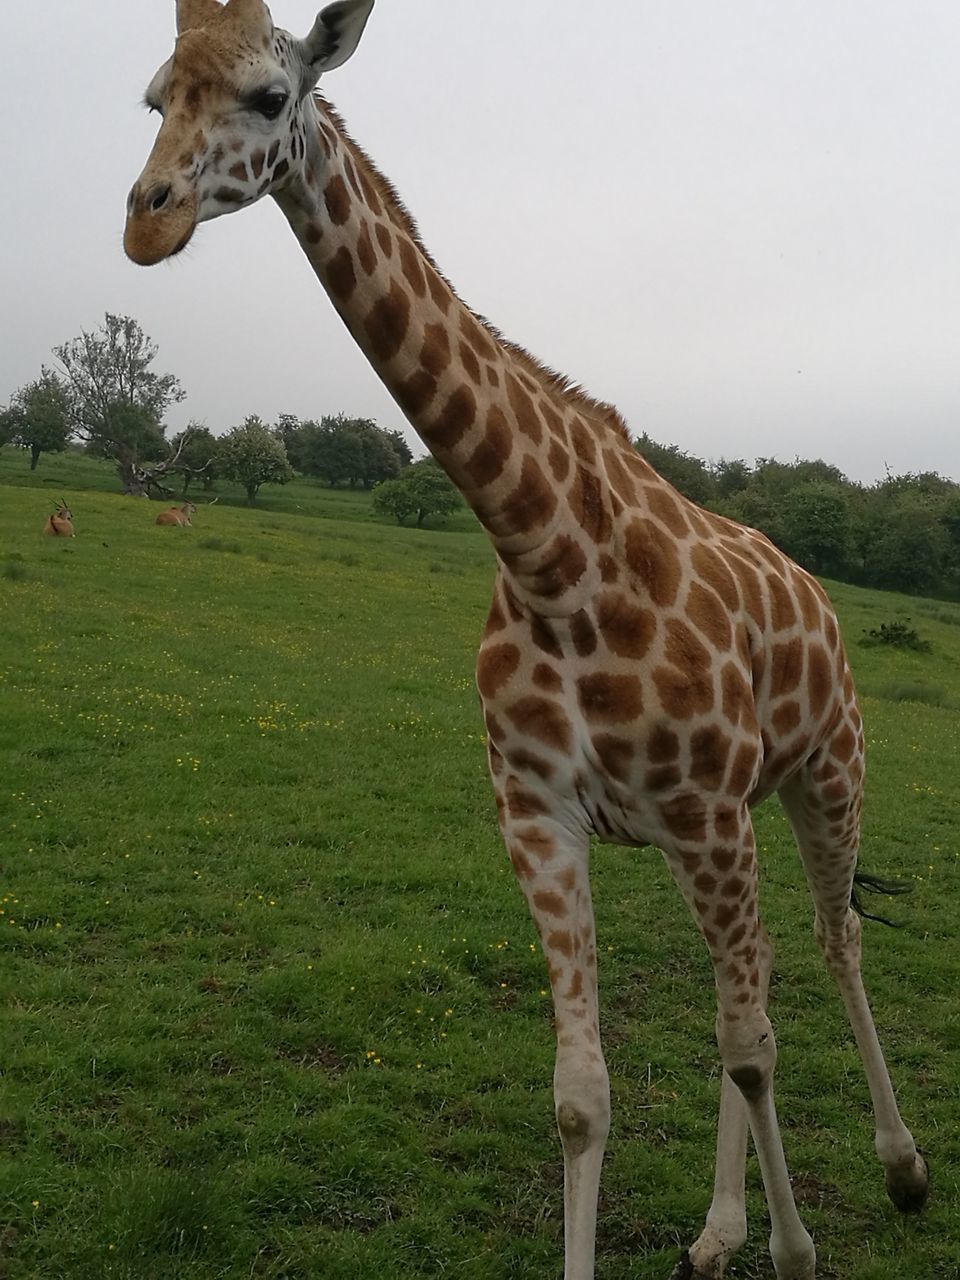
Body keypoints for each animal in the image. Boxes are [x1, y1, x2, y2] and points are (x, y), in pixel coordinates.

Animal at [124, 5, 926, 1274]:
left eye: (267, 94)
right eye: (155, 97)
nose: (144, 221)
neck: (548, 550)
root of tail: (820, 593)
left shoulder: (705, 815)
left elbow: (753, 1048)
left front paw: (798, 1251)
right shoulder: (542, 816)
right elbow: (586, 1094)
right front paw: (726, 1231)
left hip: (826, 770)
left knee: (831, 942)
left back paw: (900, 1167)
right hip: (729, 818)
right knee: (755, 985)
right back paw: (715, 1230)